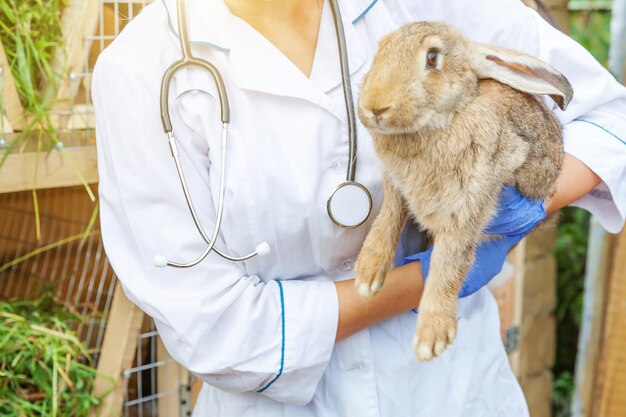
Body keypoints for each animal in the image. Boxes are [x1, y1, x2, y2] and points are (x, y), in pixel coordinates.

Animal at [352, 21, 572, 360]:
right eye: (381, 48)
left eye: (432, 57)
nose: (375, 105)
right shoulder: (397, 189)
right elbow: (387, 219)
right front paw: (367, 275)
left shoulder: (469, 202)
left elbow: (449, 261)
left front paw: (432, 336)